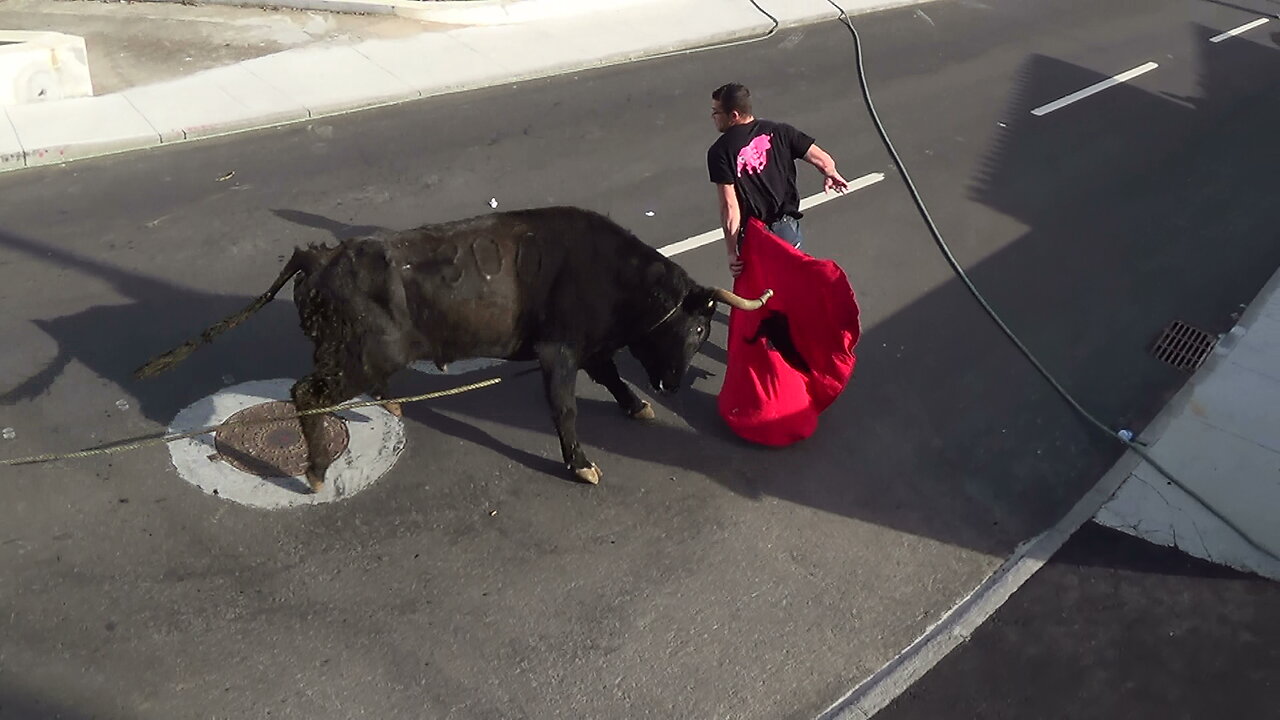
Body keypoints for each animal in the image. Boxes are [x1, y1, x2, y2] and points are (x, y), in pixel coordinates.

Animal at [135, 204, 768, 489]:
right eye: (699, 329)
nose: (672, 384)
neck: (614, 274)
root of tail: (319, 256)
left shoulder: (588, 346)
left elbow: (611, 375)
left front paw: (637, 404)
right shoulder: (558, 351)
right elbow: (565, 407)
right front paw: (581, 463)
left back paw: (386, 403)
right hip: (356, 355)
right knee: (305, 394)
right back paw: (314, 469)